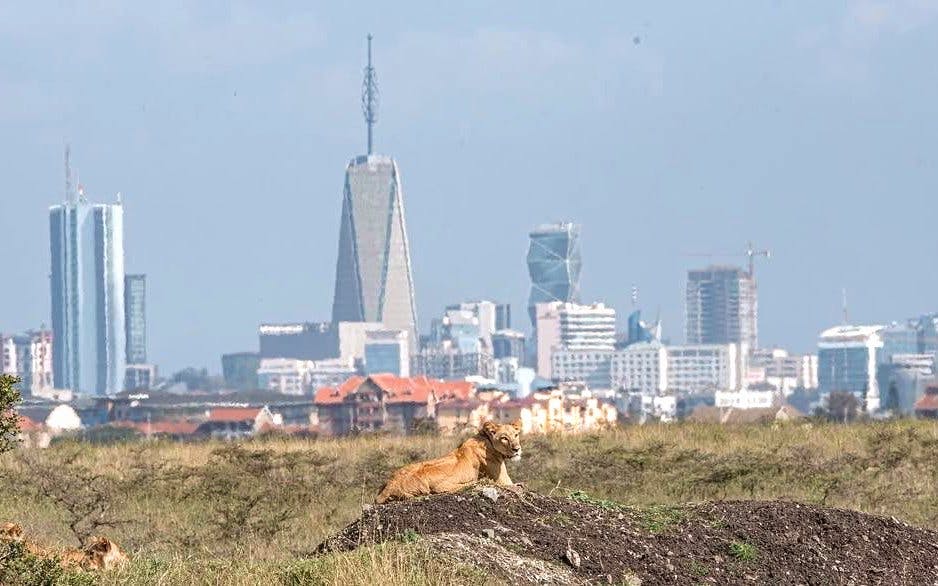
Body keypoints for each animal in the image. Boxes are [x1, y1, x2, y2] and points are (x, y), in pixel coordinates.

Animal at [375, 419, 523, 504]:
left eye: (516, 435)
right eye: (504, 438)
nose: (517, 449)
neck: (486, 440)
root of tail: (391, 485)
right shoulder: (502, 480)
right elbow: (515, 485)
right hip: (438, 485)